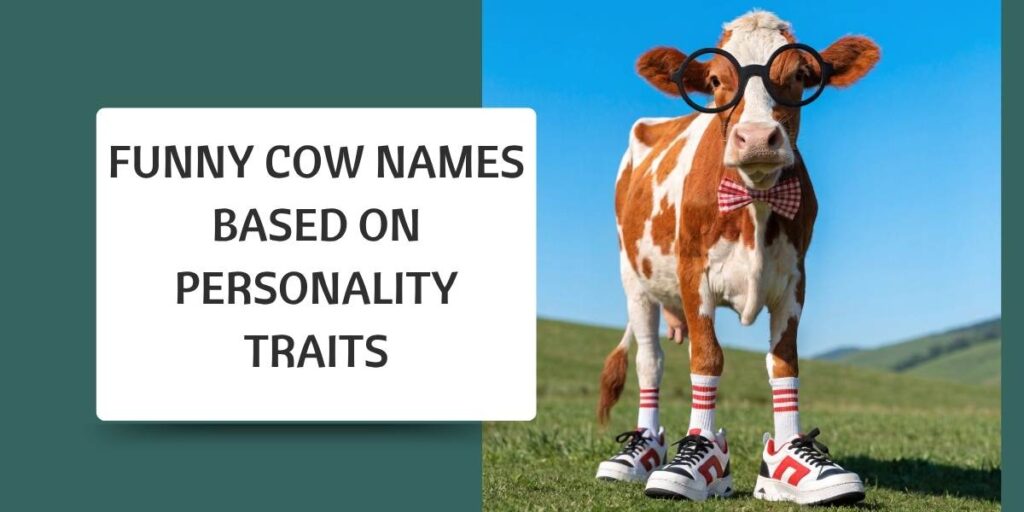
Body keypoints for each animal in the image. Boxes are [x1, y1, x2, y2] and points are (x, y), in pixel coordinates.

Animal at [593, 10, 879, 505]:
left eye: (800, 76)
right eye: (714, 80)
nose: (758, 138)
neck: (755, 199)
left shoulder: (794, 281)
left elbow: (784, 364)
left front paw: (798, 463)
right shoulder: (694, 277)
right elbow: (707, 360)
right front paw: (695, 460)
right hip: (634, 280)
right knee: (650, 363)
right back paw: (639, 452)